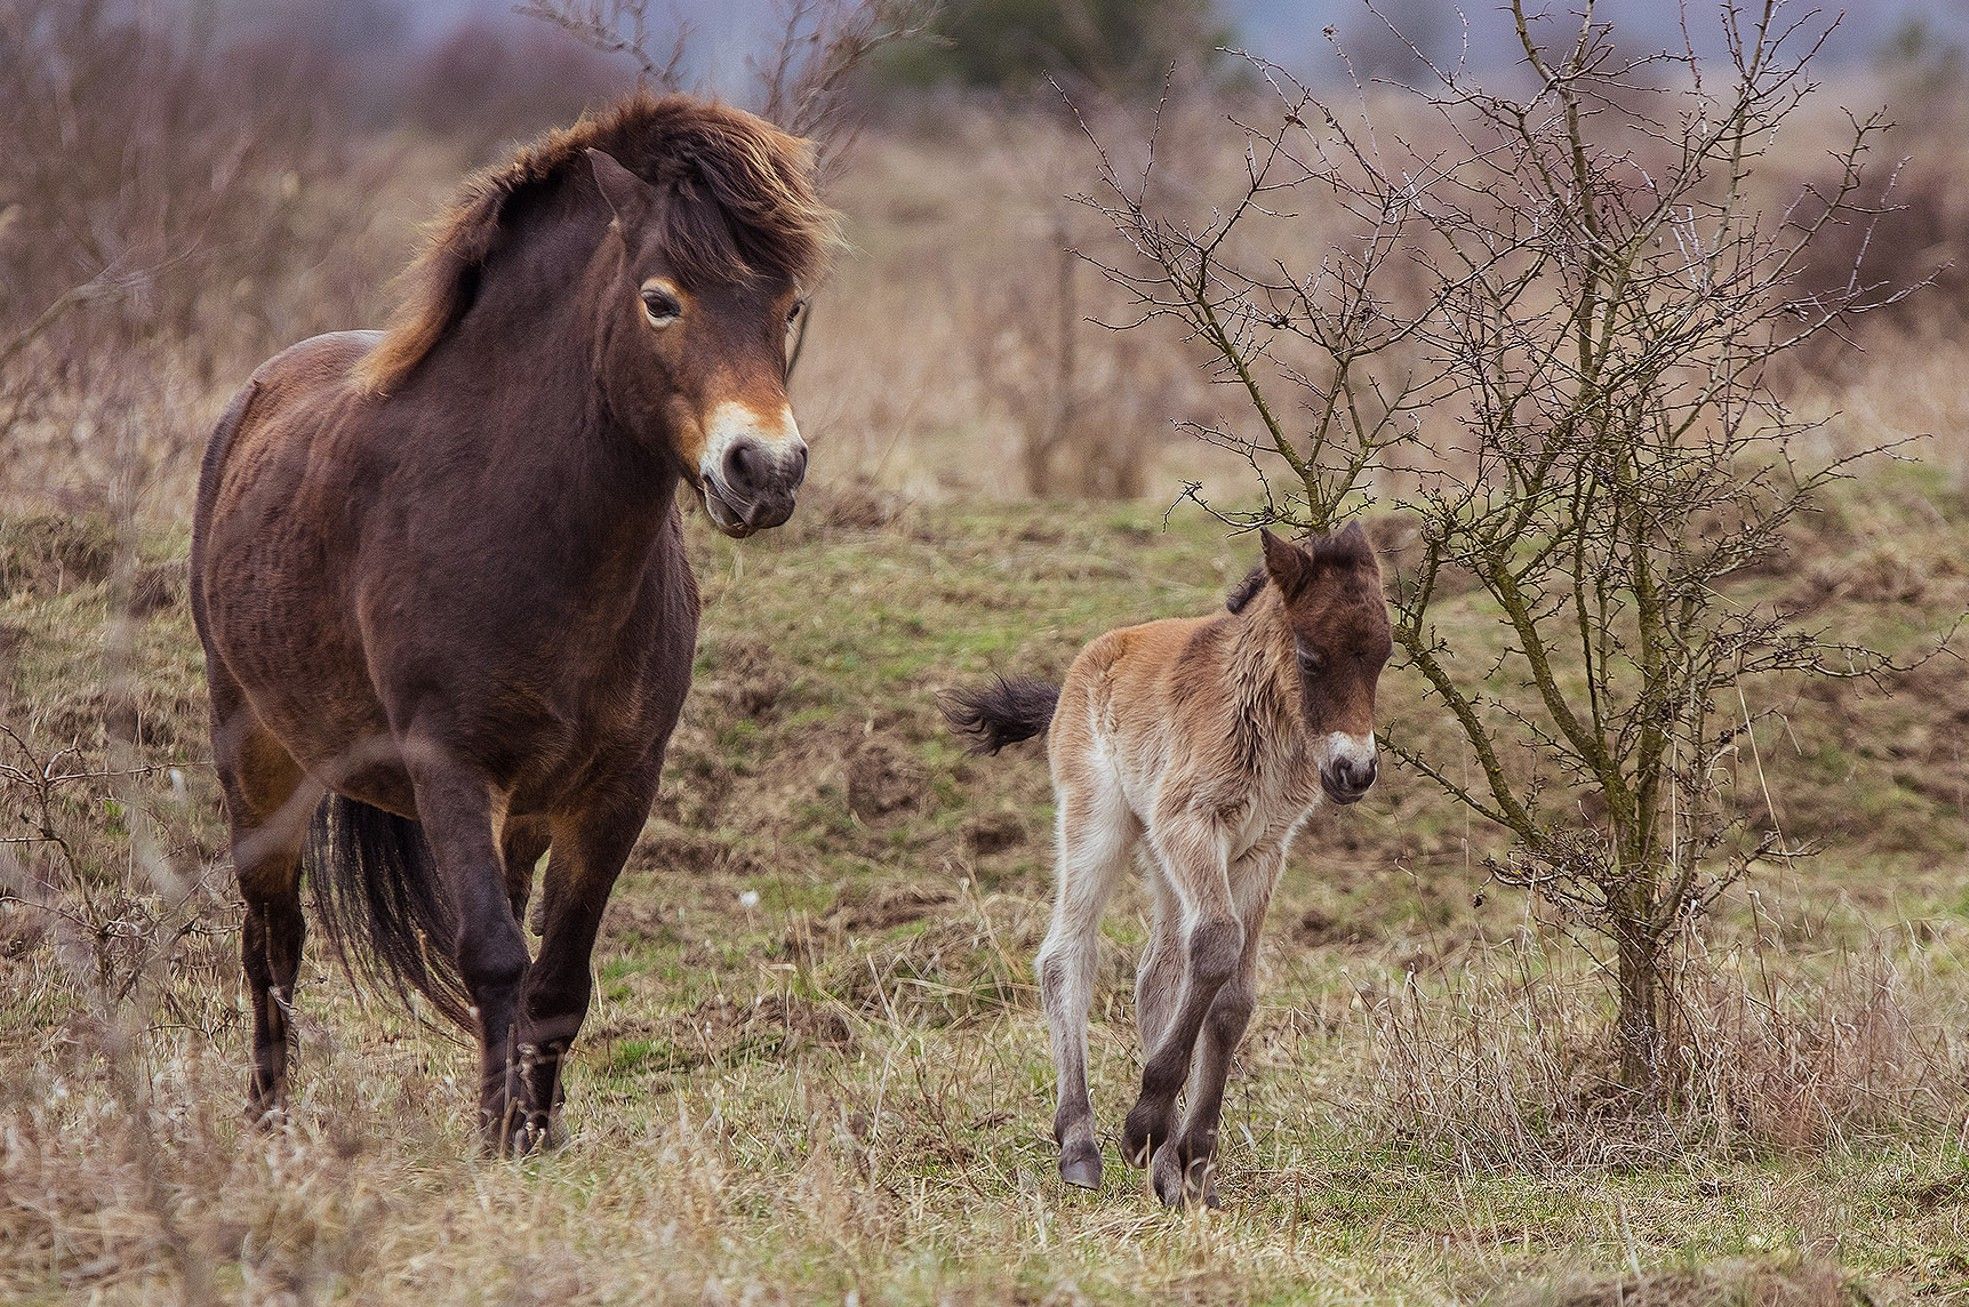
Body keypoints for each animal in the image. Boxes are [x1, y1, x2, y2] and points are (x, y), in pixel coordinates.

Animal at [185, 94, 830, 1157]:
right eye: (661, 301)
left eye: (787, 309)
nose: (763, 469)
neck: (524, 526)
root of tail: (254, 396)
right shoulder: (450, 764)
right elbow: (489, 954)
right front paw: (495, 1139)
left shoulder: (616, 788)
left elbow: (557, 979)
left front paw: (536, 1130)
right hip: (256, 755)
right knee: (272, 941)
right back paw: (270, 1117)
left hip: (522, 814)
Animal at [945, 527, 1394, 1212]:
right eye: (1311, 657)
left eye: (1384, 657)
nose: (1355, 772)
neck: (1260, 718)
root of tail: (1081, 669)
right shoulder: (1193, 822)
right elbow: (1217, 945)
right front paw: (1146, 1124)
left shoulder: (1262, 852)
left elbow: (1233, 994)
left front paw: (1194, 1156)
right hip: (1098, 821)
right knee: (1066, 954)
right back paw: (1082, 1148)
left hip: (1162, 857)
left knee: (1157, 972)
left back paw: (1166, 1175)